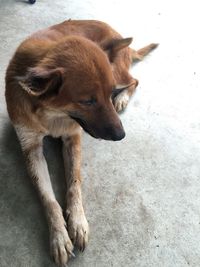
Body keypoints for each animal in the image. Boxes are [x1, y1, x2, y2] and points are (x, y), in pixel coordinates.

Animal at [5, 19, 158, 266]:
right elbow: (48, 199)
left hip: (118, 72)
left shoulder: (73, 138)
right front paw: (59, 236)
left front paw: (77, 222)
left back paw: (123, 98)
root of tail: (116, 33)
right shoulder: (31, 148)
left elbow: (74, 183)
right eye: (87, 101)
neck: (52, 115)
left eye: (109, 93)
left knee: (134, 80)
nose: (121, 135)